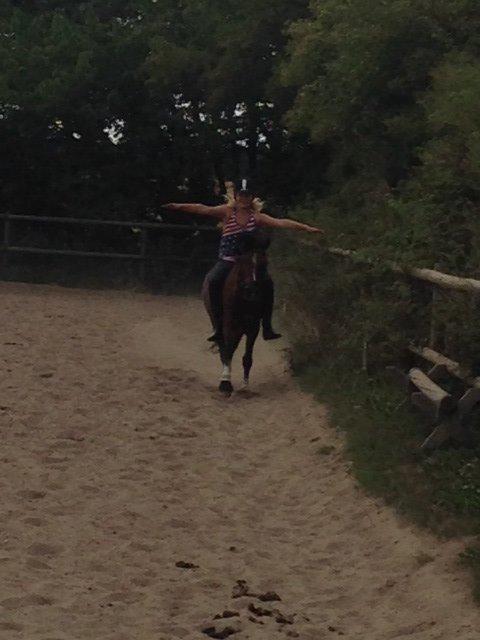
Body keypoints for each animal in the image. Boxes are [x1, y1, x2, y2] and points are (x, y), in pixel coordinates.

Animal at [202, 248, 262, 392]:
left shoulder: (253, 329)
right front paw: (225, 382)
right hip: (217, 322)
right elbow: (227, 352)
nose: (252, 290)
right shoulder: (230, 327)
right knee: (224, 345)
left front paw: (245, 385)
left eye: (261, 265)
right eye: (243, 265)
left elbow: (247, 357)